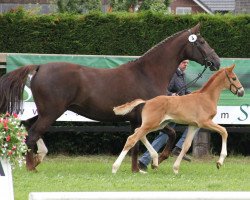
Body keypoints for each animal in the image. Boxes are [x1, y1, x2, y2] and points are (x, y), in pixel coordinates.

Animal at [0, 23, 221, 170]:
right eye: (202, 42)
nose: (217, 61)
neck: (147, 73)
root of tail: (39, 67)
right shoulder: (147, 117)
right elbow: (167, 134)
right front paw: (158, 160)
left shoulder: (136, 119)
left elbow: (137, 143)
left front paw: (138, 168)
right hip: (51, 113)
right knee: (31, 134)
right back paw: (31, 167)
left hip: (47, 111)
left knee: (28, 126)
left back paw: (38, 159)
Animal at [112, 65, 244, 174]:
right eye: (234, 78)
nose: (241, 91)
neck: (206, 97)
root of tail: (147, 101)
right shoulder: (205, 122)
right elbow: (224, 131)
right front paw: (219, 162)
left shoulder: (194, 125)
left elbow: (186, 145)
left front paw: (175, 169)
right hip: (151, 123)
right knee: (132, 138)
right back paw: (115, 167)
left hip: (158, 124)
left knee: (139, 134)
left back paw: (155, 161)